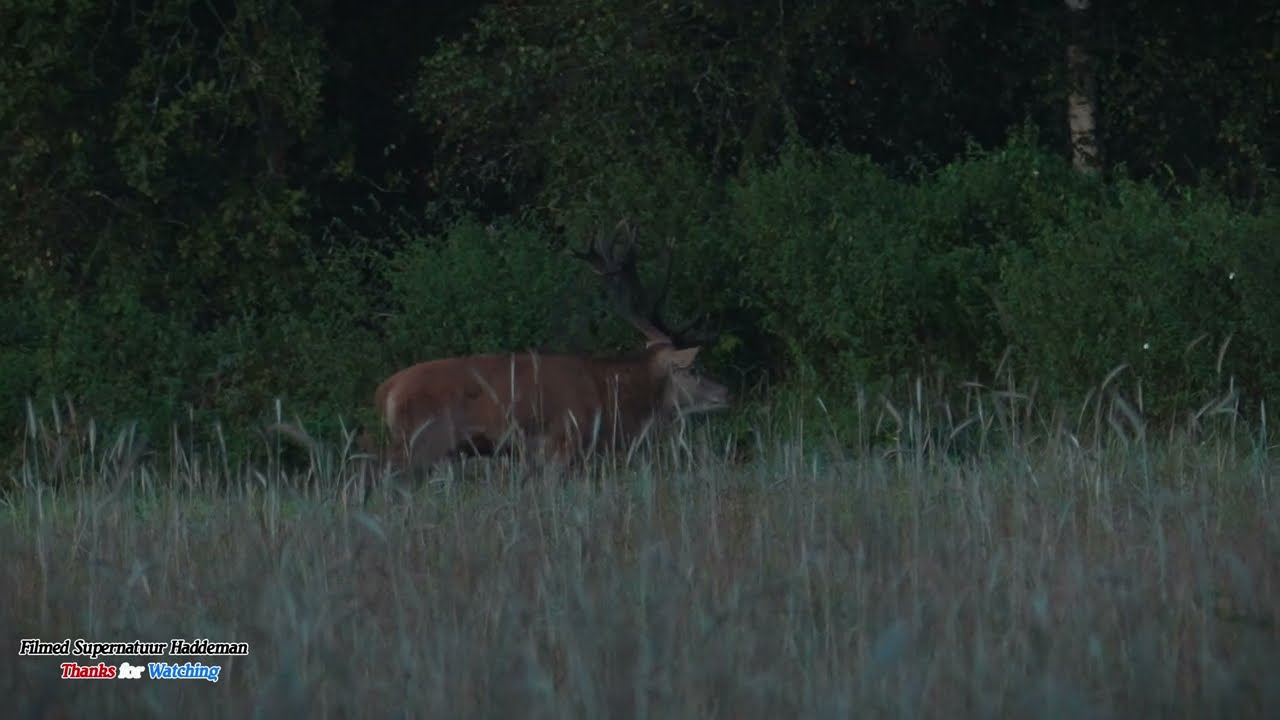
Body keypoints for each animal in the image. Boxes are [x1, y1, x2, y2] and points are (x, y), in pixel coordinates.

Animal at [366, 219, 732, 473]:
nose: (726, 393)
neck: (608, 397)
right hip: (421, 441)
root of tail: (385, 390)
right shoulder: (562, 443)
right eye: (694, 368)